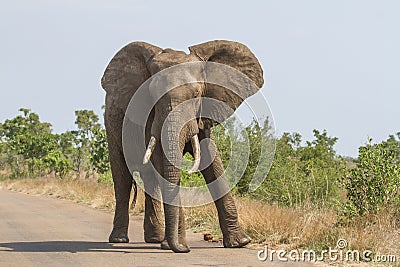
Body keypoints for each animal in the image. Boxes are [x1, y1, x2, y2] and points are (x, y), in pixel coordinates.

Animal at [101, 39, 262, 253]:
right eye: (151, 95)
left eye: (196, 95)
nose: (183, 249)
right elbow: (162, 162)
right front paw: (178, 246)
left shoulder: (202, 113)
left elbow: (212, 159)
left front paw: (240, 243)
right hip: (111, 124)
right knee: (122, 177)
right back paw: (120, 239)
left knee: (151, 180)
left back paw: (154, 239)